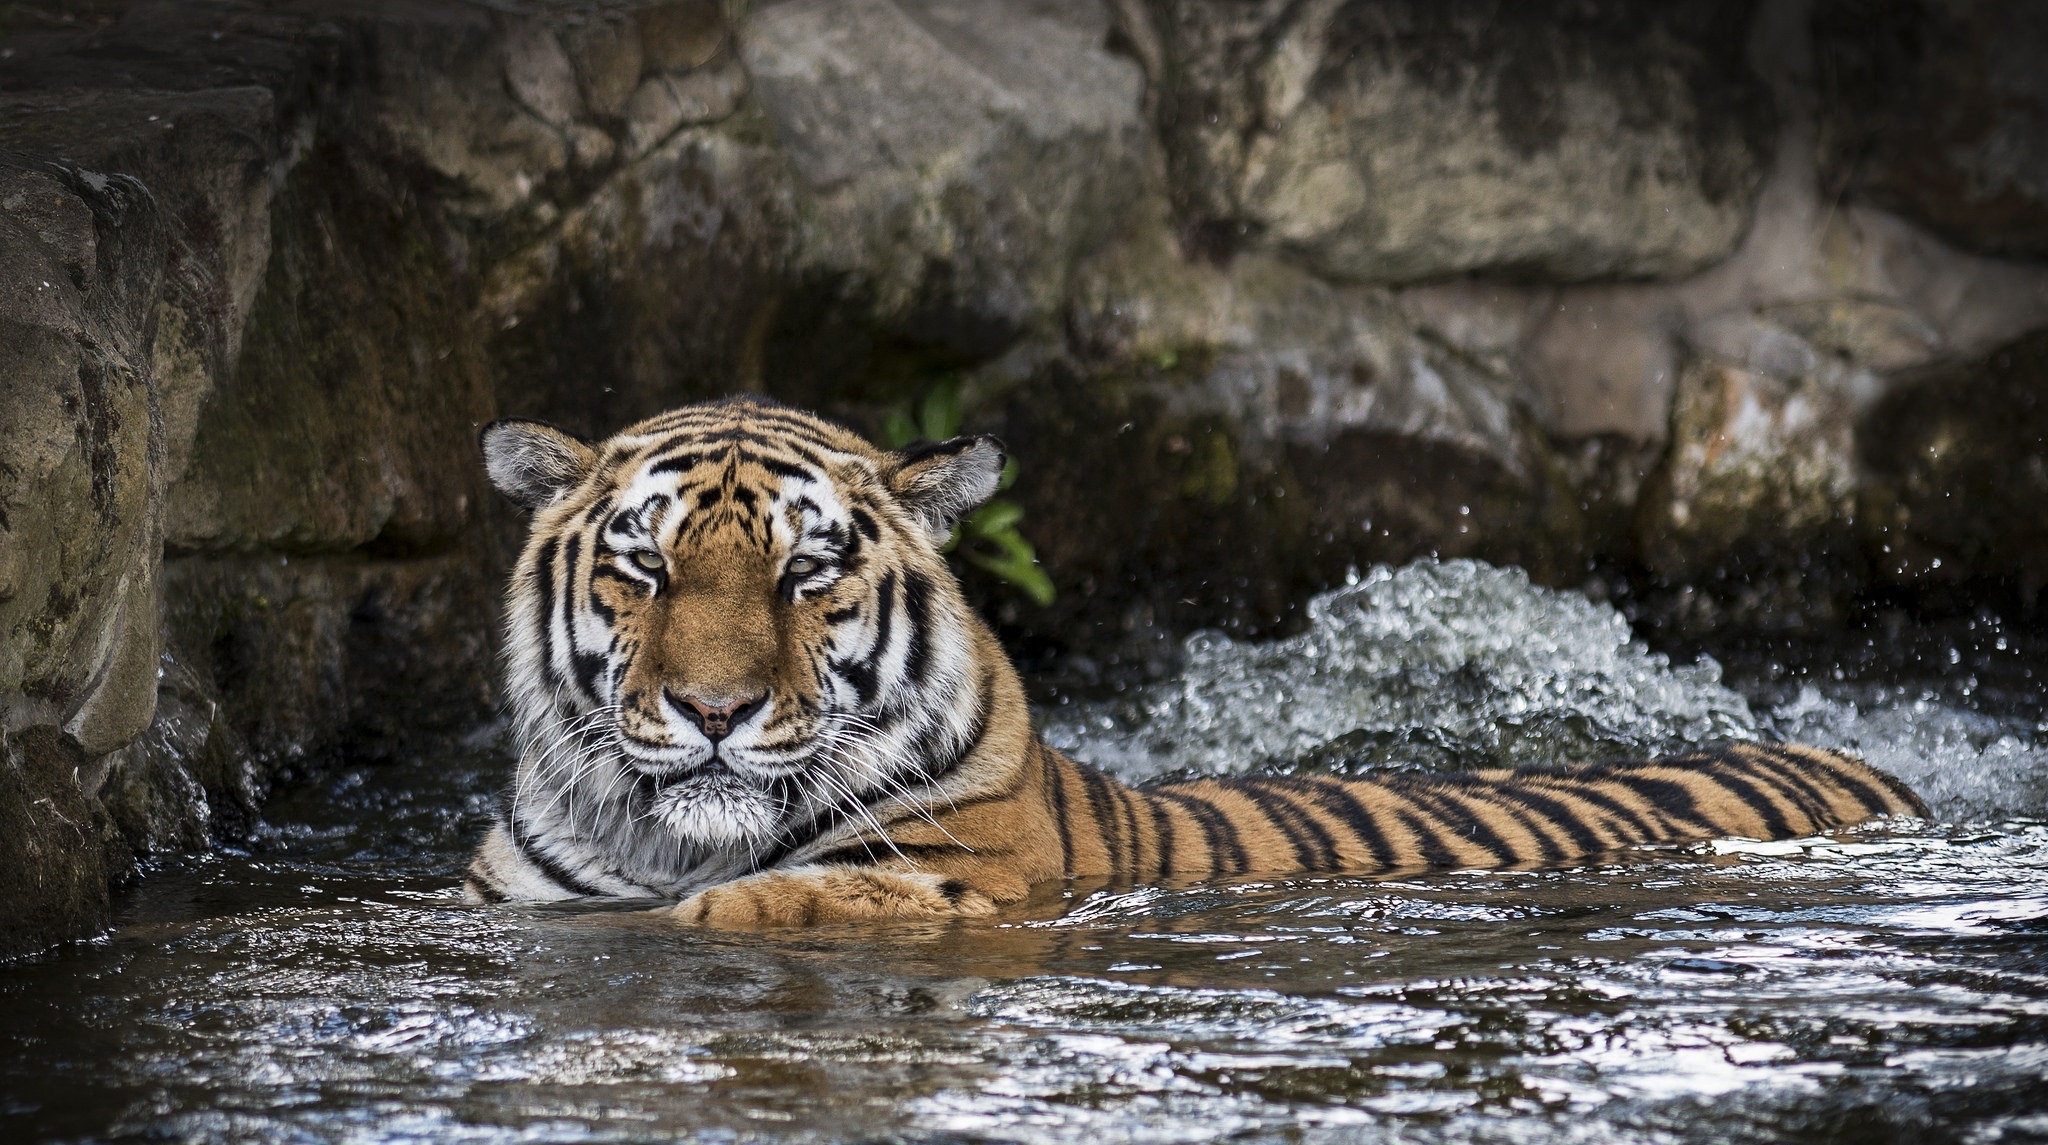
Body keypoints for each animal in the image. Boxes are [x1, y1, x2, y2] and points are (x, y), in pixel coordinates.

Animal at [468, 399, 1933, 925]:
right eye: (646, 567)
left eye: (804, 574)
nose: (713, 709)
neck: (671, 846)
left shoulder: (955, 878)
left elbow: (788, 901)